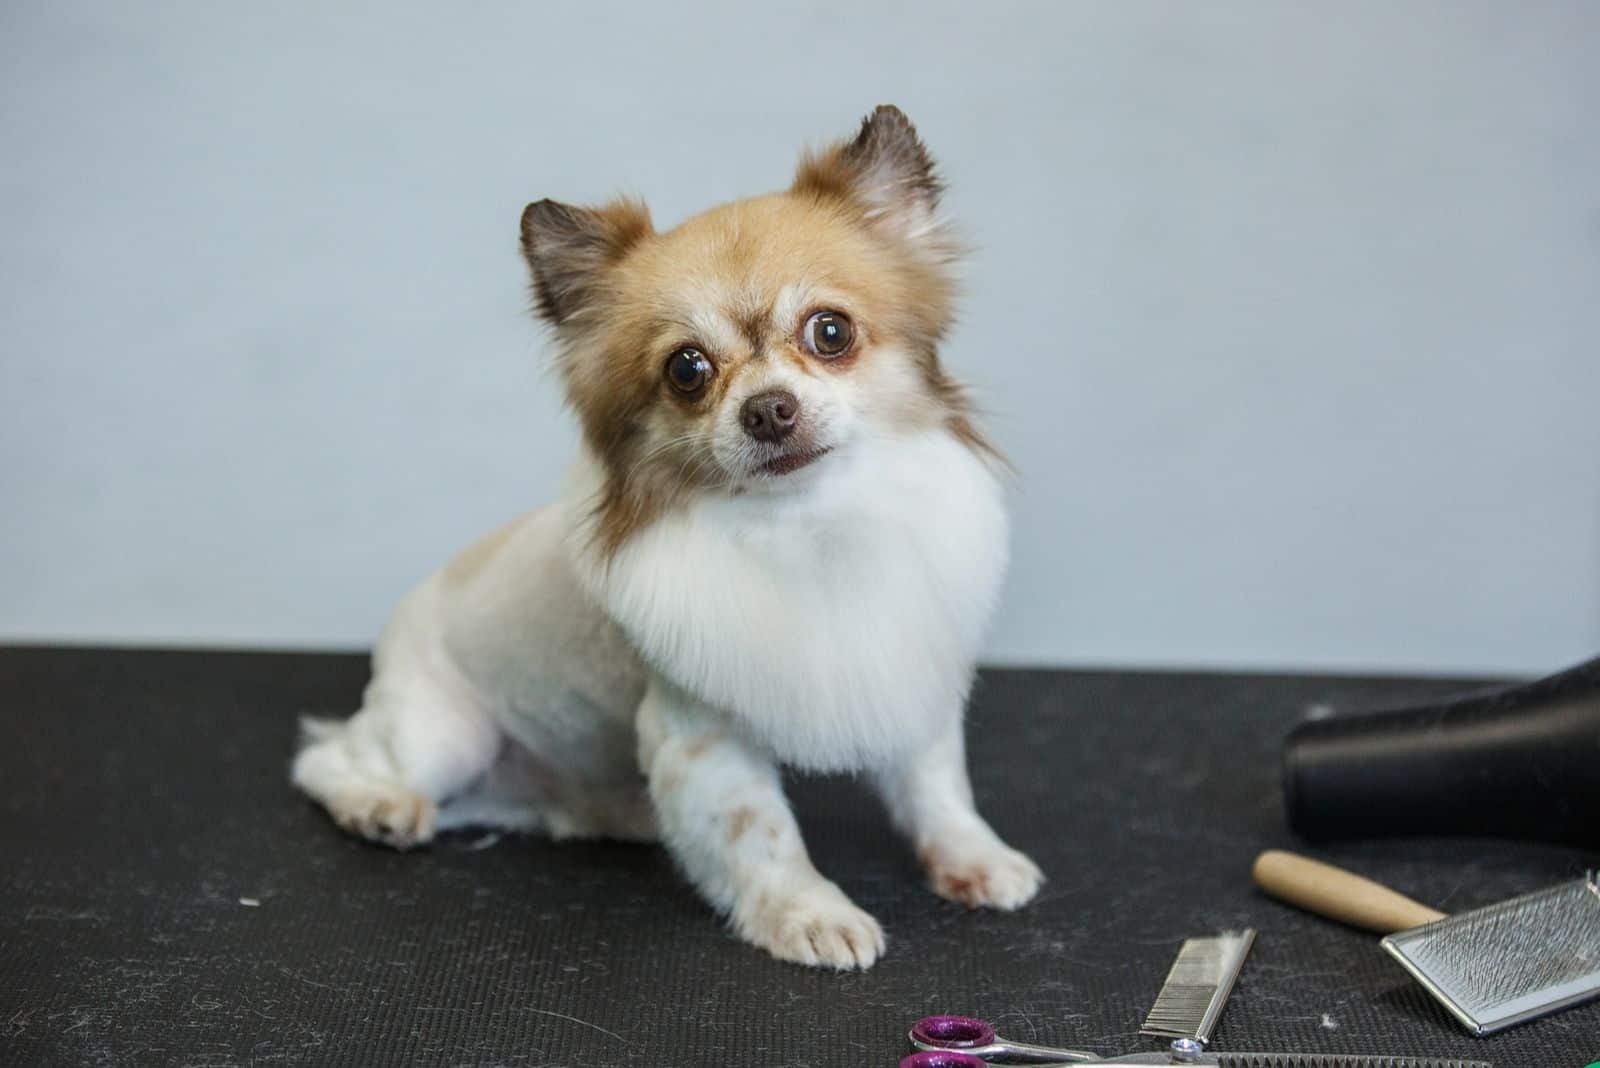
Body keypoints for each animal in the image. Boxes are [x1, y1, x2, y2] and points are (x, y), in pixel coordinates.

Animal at [292, 106, 1043, 965]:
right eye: (687, 370)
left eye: (831, 332)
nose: (768, 409)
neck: (806, 525)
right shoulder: (701, 735)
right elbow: (761, 832)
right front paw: (809, 914)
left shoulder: (910, 672)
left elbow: (936, 786)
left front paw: (974, 858)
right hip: (443, 735)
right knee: (326, 759)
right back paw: (378, 805)